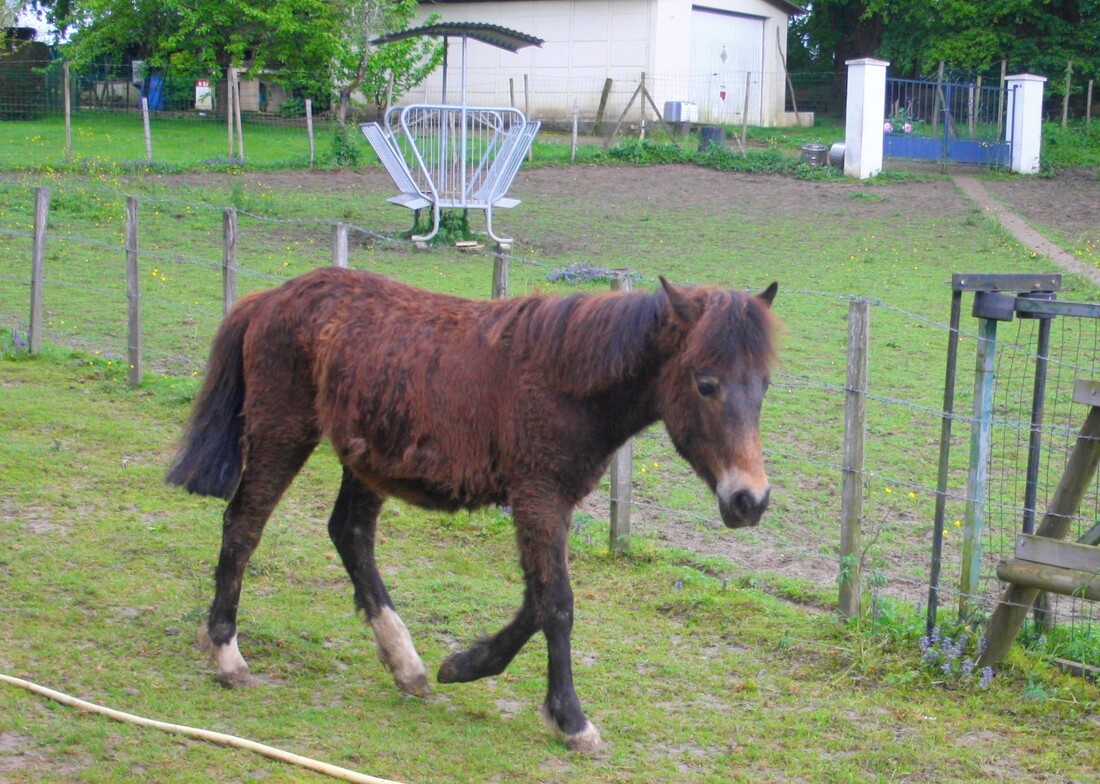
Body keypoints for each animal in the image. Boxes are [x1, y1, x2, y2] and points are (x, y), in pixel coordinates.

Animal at [167, 269, 778, 752]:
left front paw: (464, 666)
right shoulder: (538, 496)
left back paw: (406, 664)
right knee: (244, 526)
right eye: (706, 383)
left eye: (764, 385)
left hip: (366, 459)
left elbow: (537, 600)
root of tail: (269, 298)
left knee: (350, 534)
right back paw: (227, 654)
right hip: (282, 433)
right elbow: (557, 604)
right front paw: (571, 720)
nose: (749, 501)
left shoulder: (548, 503)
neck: (565, 376)